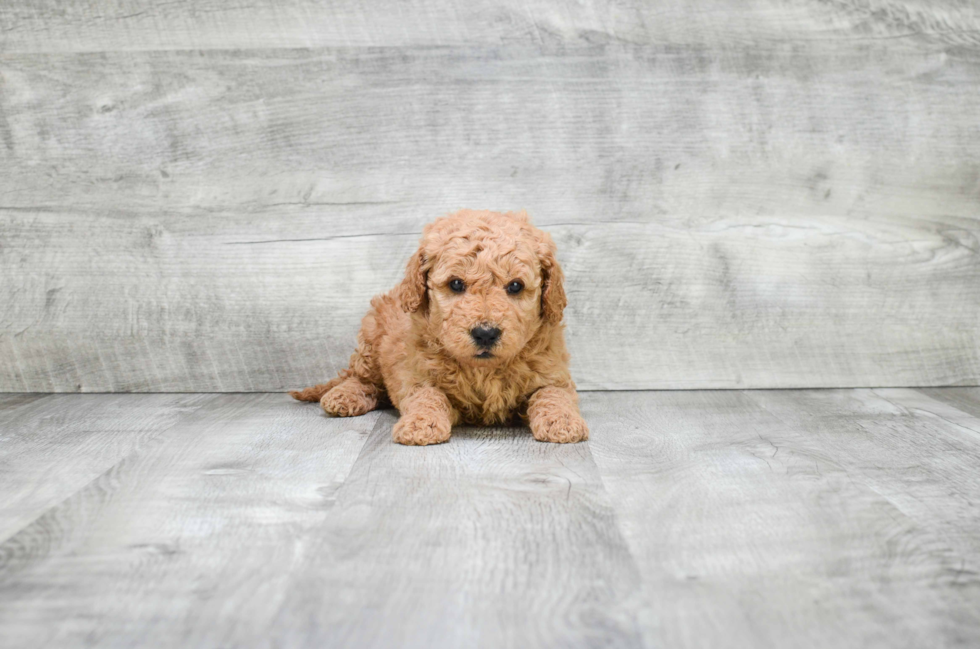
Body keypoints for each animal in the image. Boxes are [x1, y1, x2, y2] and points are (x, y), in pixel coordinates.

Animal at [288, 209, 584, 446]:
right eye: (456, 284)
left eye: (515, 286)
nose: (485, 334)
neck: (483, 370)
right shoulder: (417, 374)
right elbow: (427, 396)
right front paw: (421, 425)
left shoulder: (553, 373)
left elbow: (553, 394)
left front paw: (563, 422)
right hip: (371, 339)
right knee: (362, 378)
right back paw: (344, 395)